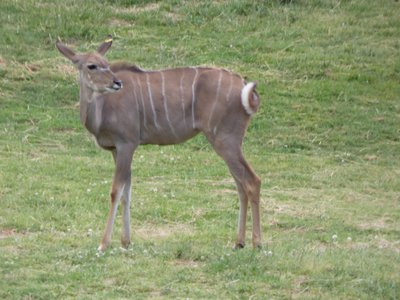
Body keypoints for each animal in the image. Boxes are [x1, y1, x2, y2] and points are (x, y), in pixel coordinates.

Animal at [56, 36, 262, 252]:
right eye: (92, 65)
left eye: (106, 63)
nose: (116, 82)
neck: (103, 108)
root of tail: (245, 88)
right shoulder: (116, 149)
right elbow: (126, 191)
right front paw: (126, 241)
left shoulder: (127, 144)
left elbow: (116, 191)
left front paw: (104, 244)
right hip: (229, 143)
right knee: (240, 184)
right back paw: (239, 242)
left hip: (225, 140)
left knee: (252, 181)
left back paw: (257, 243)